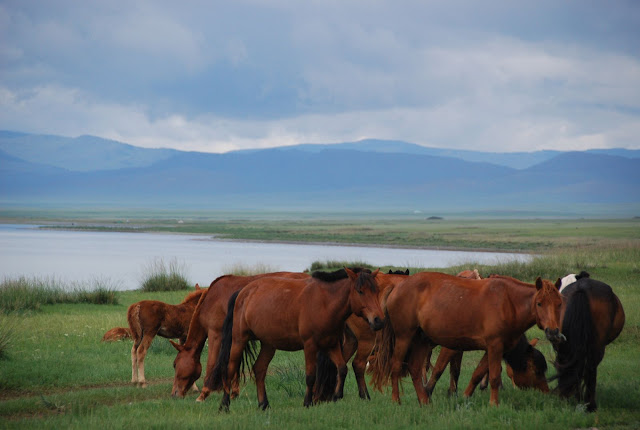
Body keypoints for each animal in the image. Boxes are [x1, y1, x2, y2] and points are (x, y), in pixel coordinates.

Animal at [170, 272, 309, 400]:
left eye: (175, 364)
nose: (174, 394)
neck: (211, 299)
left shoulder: (215, 334)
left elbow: (211, 363)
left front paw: (204, 394)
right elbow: (235, 365)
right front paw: (234, 393)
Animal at [211, 268, 385, 411]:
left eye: (376, 291)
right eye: (360, 291)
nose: (379, 320)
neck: (325, 303)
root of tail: (243, 291)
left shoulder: (331, 345)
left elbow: (342, 369)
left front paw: (336, 396)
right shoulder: (310, 345)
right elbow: (310, 376)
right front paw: (308, 402)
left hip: (268, 344)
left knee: (259, 369)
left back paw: (264, 404)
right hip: (239, 340)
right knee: (230, 369)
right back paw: (224, 405)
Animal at [370, 272, 564, 406]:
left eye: (559, 304)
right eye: (539, 303)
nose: (553, 331)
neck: (508, 302)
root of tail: (398, 286)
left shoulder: (493, 348)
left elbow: (478, 373)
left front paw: (465, 396)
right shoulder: (494, 346)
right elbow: (494, 376)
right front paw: (494, 404)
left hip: (421, 341)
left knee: (415, 369)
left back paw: (424, 401)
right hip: (404, 337)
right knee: (396, 366)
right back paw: (396, 400)